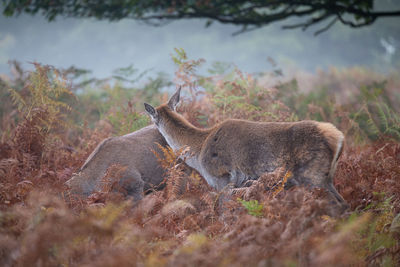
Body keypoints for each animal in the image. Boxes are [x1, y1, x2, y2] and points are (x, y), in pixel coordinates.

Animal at [144, 87, 346, 207]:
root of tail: (337, 137)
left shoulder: (222, 179)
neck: (198, 153)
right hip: (326, 177)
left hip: (313, 175)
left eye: (152, 120)